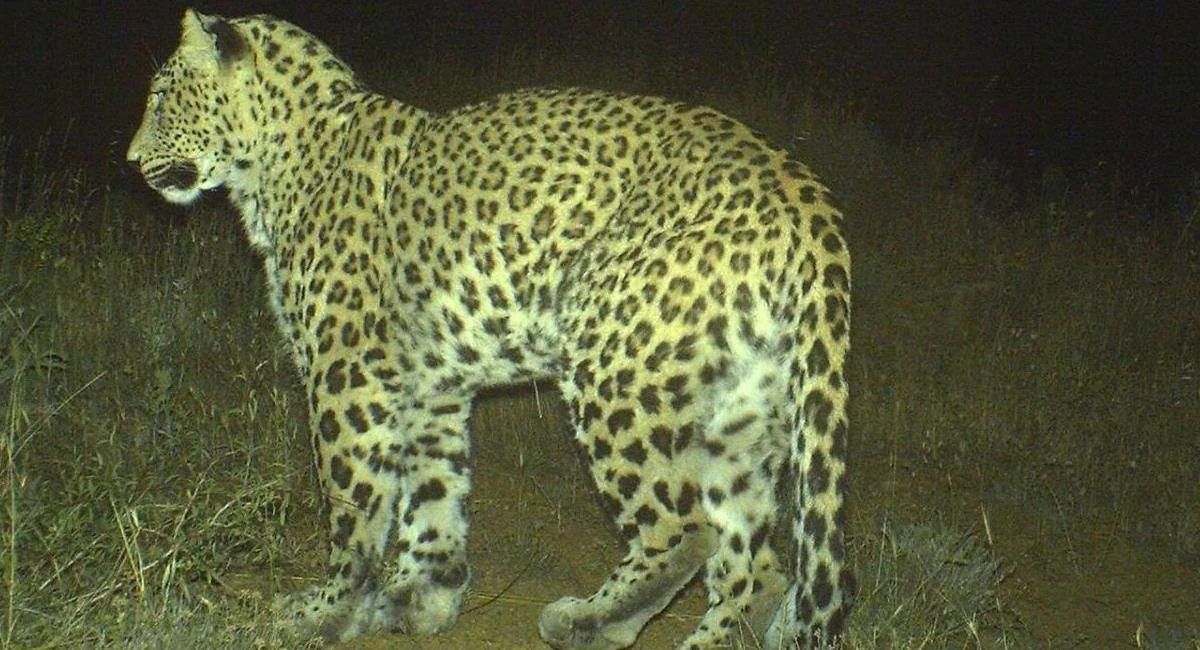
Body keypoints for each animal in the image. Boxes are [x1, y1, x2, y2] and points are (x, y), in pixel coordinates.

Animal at [127, 9, 854, 649]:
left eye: (161, 98)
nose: (132, 160)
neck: (273, 165)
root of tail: (804, 194)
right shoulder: (430, 387)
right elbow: (434, 496)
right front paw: (419, 598)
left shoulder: (347, 376)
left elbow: (353, 505)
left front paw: (326, 613)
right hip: (738, 412)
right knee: (756, 561)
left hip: (614, 367)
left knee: (687, 530)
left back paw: (591, 620)